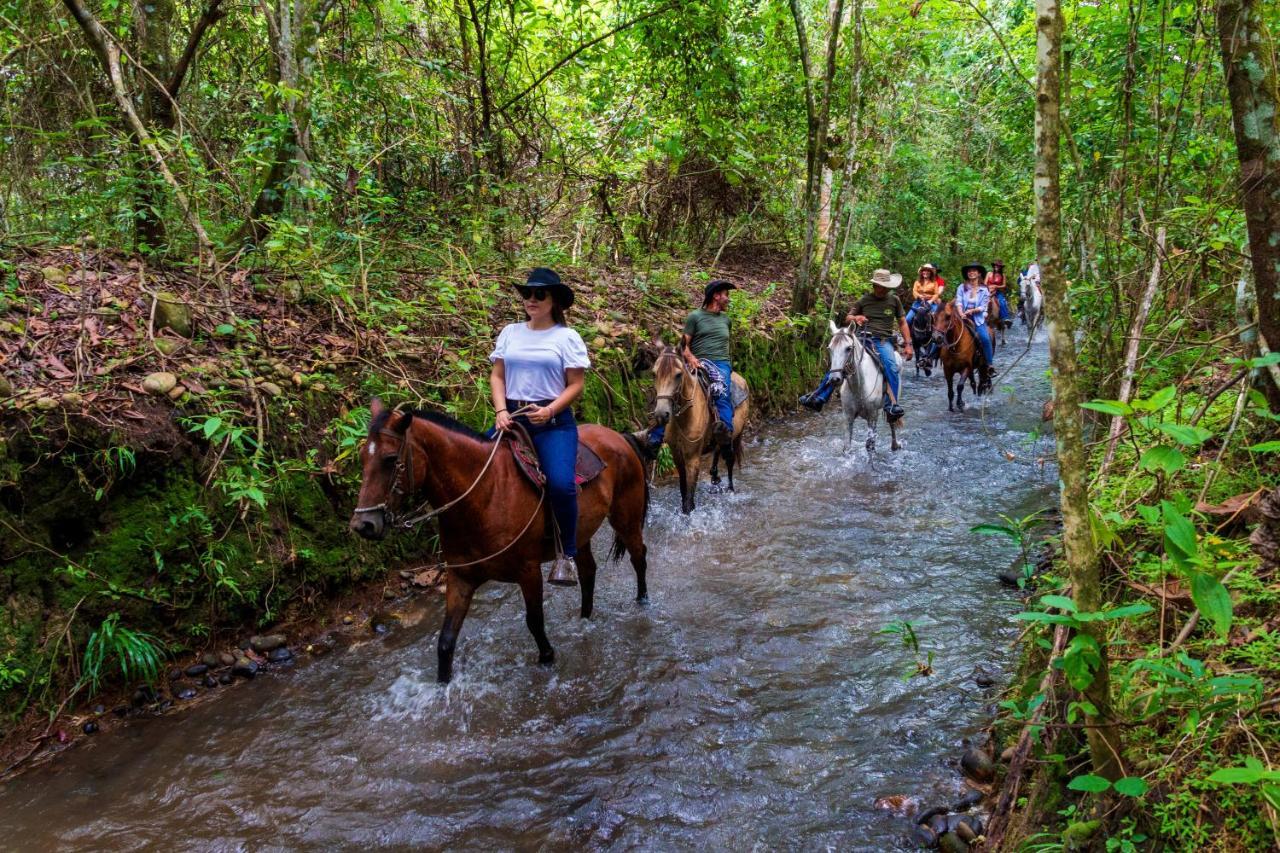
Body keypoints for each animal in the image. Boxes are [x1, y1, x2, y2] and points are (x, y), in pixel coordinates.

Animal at [650, 345, 747, 512]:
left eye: (678, 374)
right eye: (654, 374)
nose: (661, 414)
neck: (684, 417)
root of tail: (742, 379)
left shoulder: (693, 457)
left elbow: (689, 499)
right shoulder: (677, 454)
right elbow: (683, 491)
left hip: (735, 435)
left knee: (729, 459)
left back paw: (730, 489)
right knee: (717, 450)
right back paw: (714, 477)